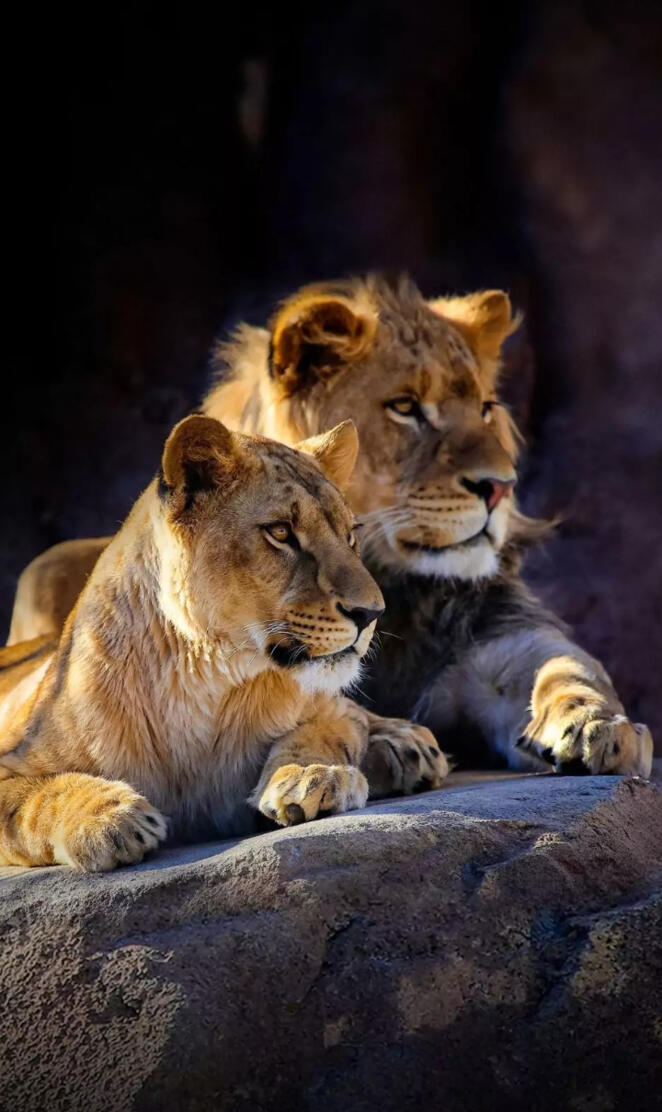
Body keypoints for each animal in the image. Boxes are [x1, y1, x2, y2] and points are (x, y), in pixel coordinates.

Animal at [0, 414, 448, 870]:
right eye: (281, 532)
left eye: (350, 535)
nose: (371, 613)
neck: (202, 684)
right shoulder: (13, 761)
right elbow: (39, 798)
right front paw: (109, 817)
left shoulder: (325, 710)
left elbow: (329, 729)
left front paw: (312, 777)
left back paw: (406, 746)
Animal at [7, 276, 653, 778]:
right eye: (405, 407)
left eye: (486, 409)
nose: (500, 486)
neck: (398, 585)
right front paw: (391, 738)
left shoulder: (498, 639)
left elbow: (568, 666)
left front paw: (599, 723)